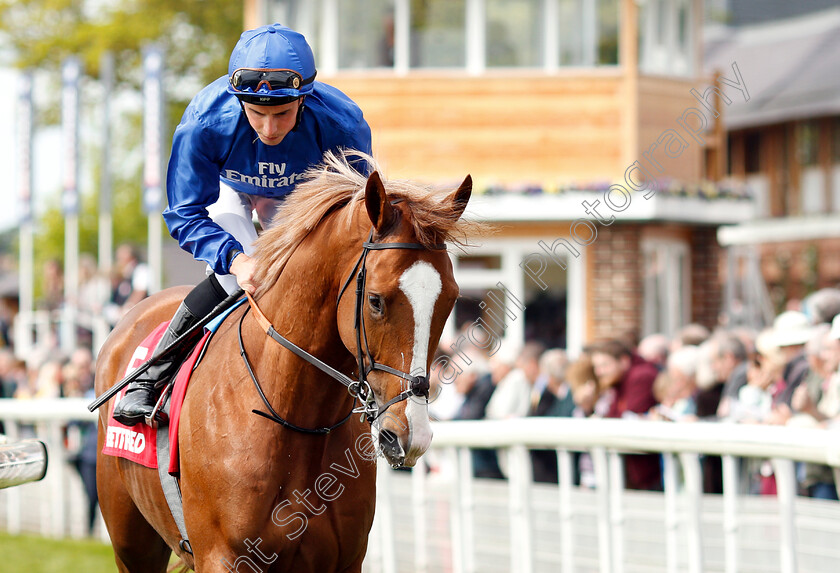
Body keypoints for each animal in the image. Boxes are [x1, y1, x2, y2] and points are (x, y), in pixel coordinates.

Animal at [96, 153, 476, 572]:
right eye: (376, 300)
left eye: (451, 299)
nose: (409, 436)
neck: (296, 418)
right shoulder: (221, 556)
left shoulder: (346, 559)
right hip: (130, 541)